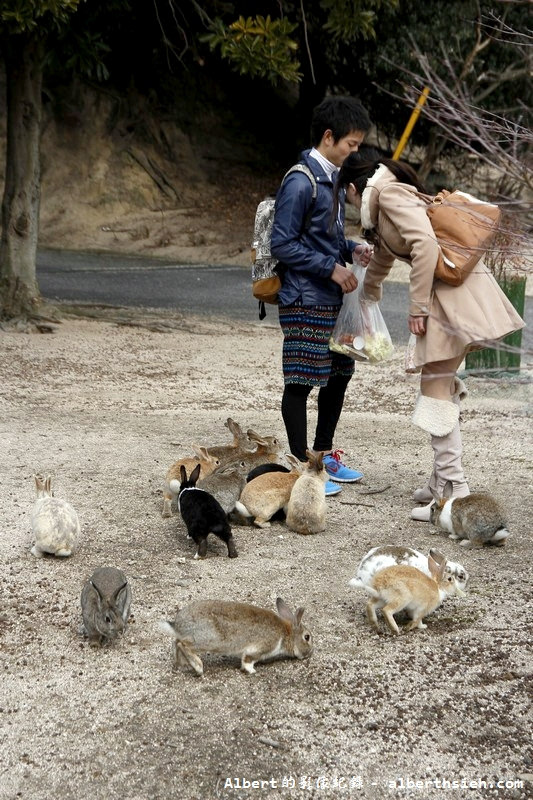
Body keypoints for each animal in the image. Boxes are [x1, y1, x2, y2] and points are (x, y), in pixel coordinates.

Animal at [160, 592, 314, 676]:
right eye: (307, 637)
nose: (309, 653)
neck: (287, 634)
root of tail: (178, 625)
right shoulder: (261, 647)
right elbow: (248, 659)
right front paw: (252, 671)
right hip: (206, 640)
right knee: (182, 644)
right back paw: (198, 667)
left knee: (175, 643)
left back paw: (182, 665)